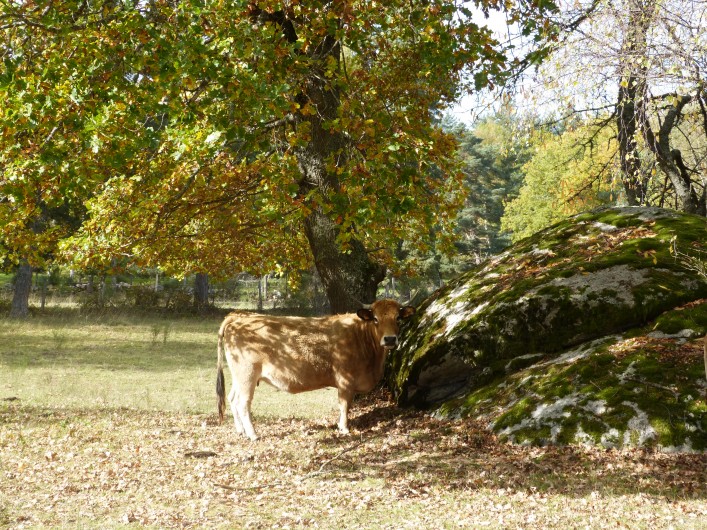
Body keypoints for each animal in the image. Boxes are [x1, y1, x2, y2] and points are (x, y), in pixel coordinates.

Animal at [216, 299, 416, 440]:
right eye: (375, 319)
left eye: (398, 318)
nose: (390, 339)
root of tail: (240, 317)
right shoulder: (345, 380)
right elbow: (344, 405)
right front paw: (344, 428)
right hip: (247, 375)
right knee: (243, 403)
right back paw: (252, 434)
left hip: (239, 377)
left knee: (232, 399)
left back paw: (241, 431)